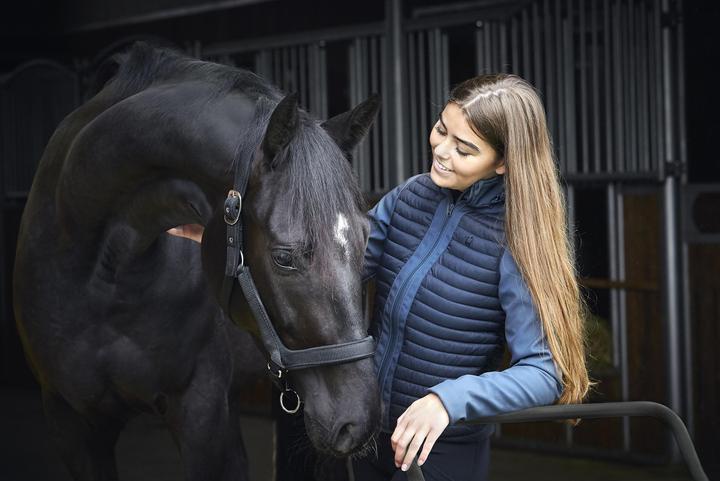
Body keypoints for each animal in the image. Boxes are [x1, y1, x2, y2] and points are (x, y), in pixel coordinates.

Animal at [13, 41, 381, 481]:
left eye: (367, 242)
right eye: (284, 258)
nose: (358, 421)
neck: (100, 276)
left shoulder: (203, 413)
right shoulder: (71, 422)